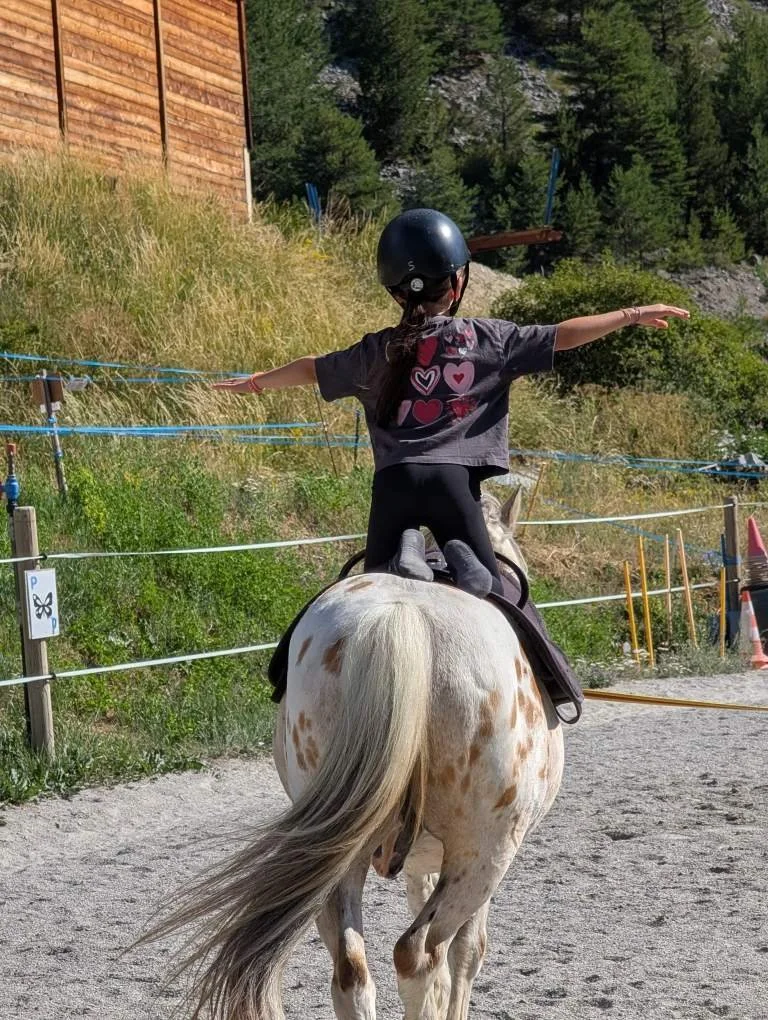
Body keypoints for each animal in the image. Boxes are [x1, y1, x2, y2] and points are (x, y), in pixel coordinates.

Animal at [151, 489, 565, 1020]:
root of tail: (403, 618)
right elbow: (467, 955)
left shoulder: (421, 861)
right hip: (484, 853)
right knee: (419, 953)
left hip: (338, 847)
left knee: (351, 966)